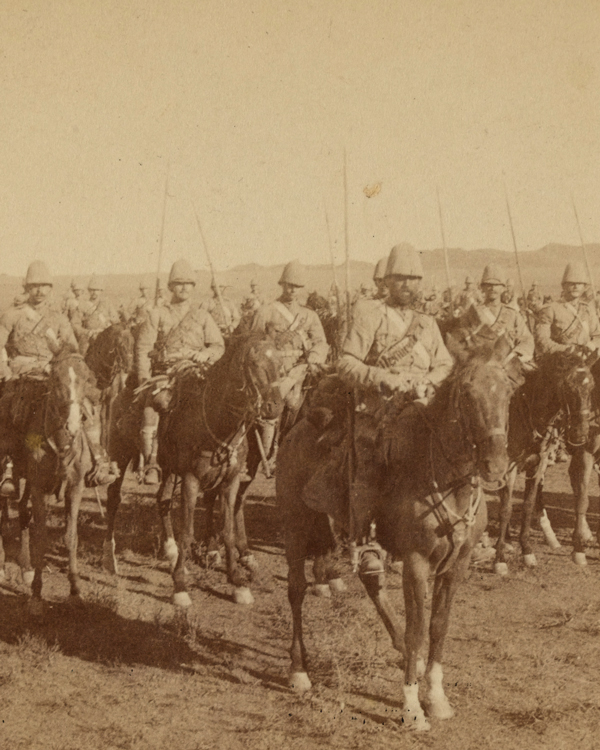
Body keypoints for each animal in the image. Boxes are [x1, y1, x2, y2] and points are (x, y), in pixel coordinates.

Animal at [104, 332, 284, 608]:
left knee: (163, 499)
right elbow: (187, 532)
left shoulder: (230, 482)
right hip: (120, 455)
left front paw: (237, 582)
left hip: (168, 469)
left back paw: (170, 551)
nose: (274, 407)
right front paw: (180, 586)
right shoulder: (191, 480)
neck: (217, 422)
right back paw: (109, 557)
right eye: (253, 364)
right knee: (114, 499)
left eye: (280, 364)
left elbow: (228, 531)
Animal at [278, 340, 516, 736]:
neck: (447, 481)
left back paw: (406, 656)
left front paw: (435, 695)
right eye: (467, 393)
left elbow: (437, 628)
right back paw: (298, 670)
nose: (495, 465)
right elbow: (417, 629)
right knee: (296, 590)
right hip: (295, 529)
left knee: (372, 581)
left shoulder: (457, 564)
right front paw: (411, 708)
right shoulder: (416, 563)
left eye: (509, 392)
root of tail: (297, 430)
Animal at [494, 350, 596, 572]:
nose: (581, 433)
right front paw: (499, 560)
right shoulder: (508, 470)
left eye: (591, 386)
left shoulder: (536, 466)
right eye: (568, 387)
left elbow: (527, 506)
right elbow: (505, 510)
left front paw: (527, 551)